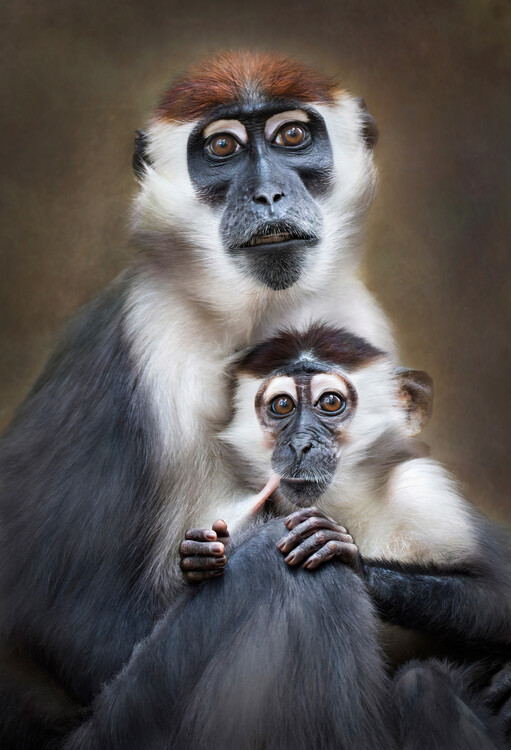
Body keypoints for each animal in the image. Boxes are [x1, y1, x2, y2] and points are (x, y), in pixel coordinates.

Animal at [0, 51, 406, 747]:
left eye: (292, 136)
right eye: (222, 148)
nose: (267, 194)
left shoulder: (355, 320)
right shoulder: (152, 338)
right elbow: (71, 623)